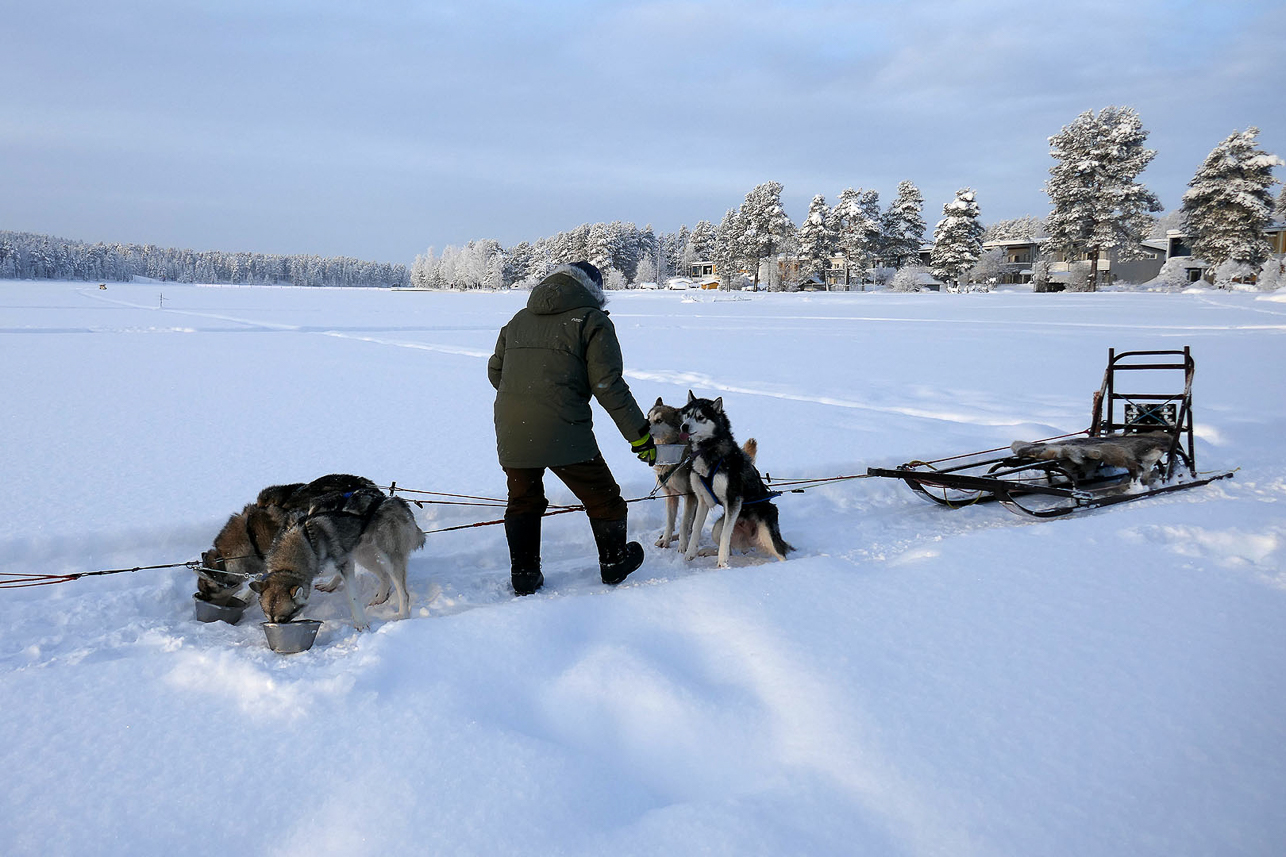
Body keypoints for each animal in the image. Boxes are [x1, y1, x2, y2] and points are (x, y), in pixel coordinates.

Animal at [250, 486, 426, 627]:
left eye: (283, 618)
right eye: (268, 618)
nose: (274, 627)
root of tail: (393, 499)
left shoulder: (345, 564)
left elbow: (353, 598)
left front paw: (361, 623)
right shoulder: (345, 561)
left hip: (388, 557)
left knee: (402, 592)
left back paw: (403, 615)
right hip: (361, 554)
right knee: (384, 576)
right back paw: (378, 598)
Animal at [673, 391, 792, 566]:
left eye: (701, 417)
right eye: (687, 415)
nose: (684, 426)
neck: (708, 450)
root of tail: (750, 540)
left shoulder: (733, 500)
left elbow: (725, 534)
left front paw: (722, 564)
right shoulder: (703, 500)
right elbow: (695, 528)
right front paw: (690, 553)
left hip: (766, 531)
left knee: (781, 554)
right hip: (718, 527)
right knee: (727, 545)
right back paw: (709, 551)